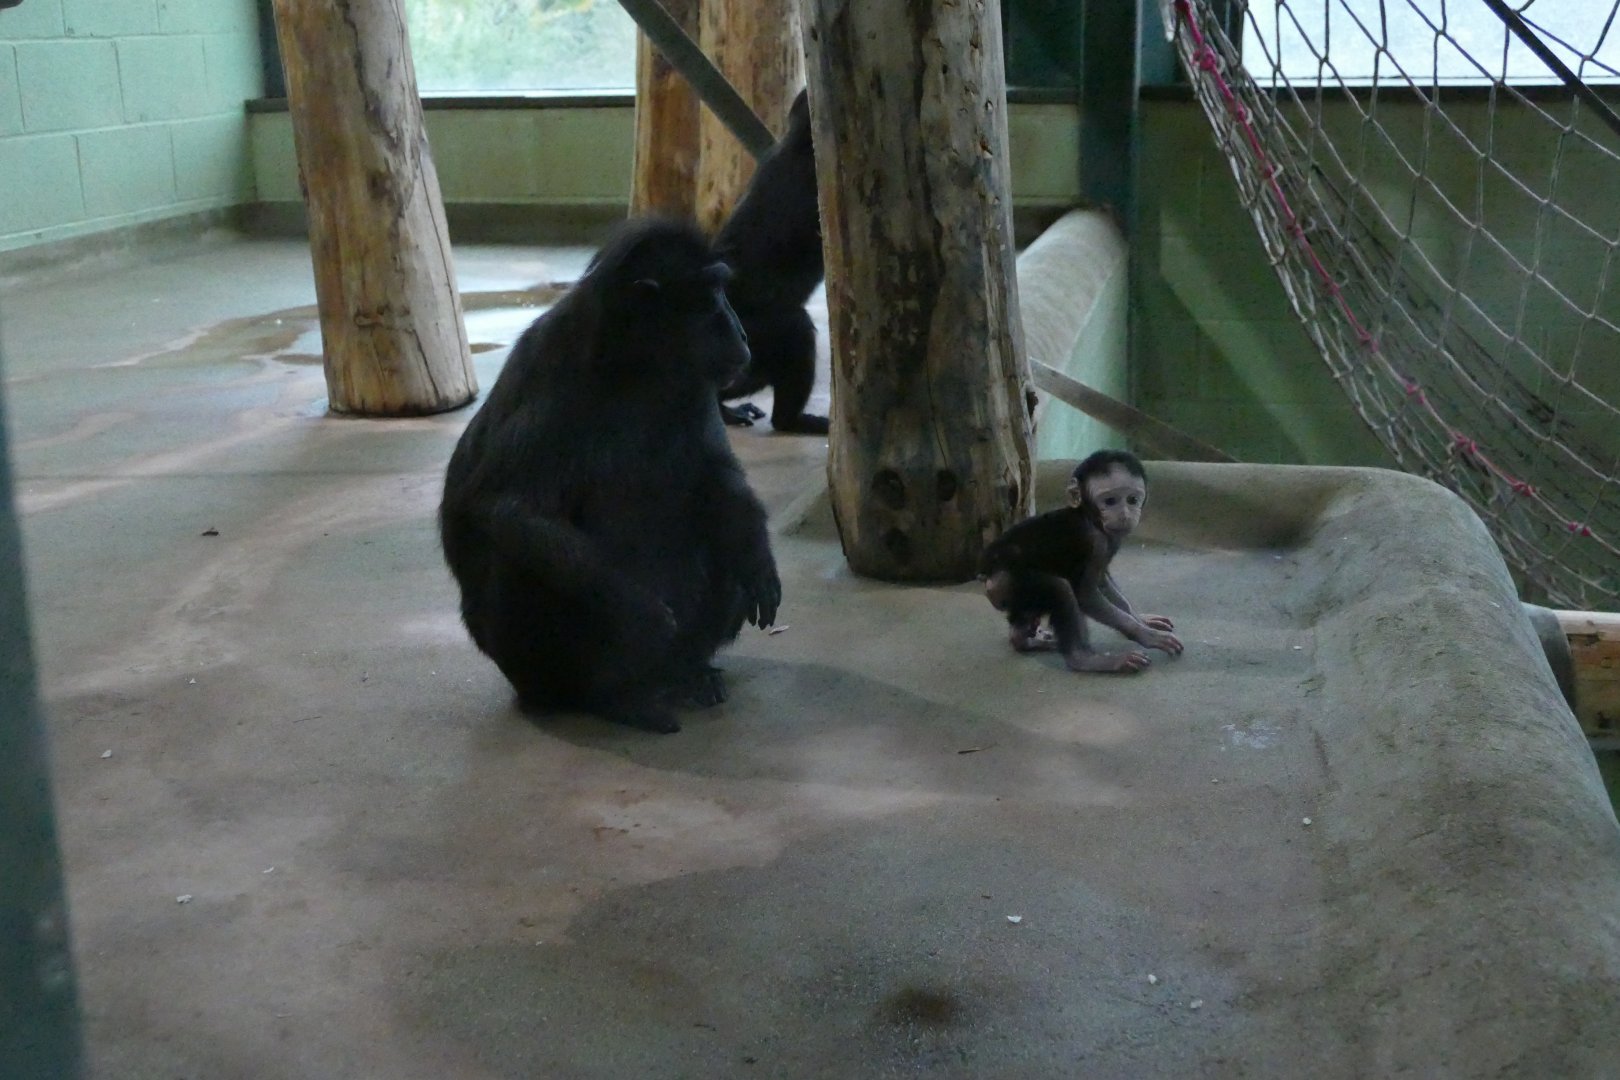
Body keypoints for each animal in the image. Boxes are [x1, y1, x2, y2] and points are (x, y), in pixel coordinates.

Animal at [438, 217, 782, 733]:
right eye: (709, 298)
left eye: (722, 290)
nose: (738, 329)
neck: (635, 365)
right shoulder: (553, 367)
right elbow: (507, 507)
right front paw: (638, 611)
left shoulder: (696, 381)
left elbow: (715, 477)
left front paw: (757, 555)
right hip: (532, 670)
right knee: (517, 556)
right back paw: (610, 697)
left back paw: (688, 669)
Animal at [977, 449, 1182, 674]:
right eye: (1110, 501)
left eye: (1132, 500)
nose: (1125, 514)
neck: (1089, 516)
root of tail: (988, 575)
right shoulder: (1095, 539)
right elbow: (1086, 594)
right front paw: (1145, 634)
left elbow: (1103, 581)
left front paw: (1141, 618)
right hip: (1011, 582)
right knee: (1060, 589)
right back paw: (1086, 659)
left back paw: (1024, 641)